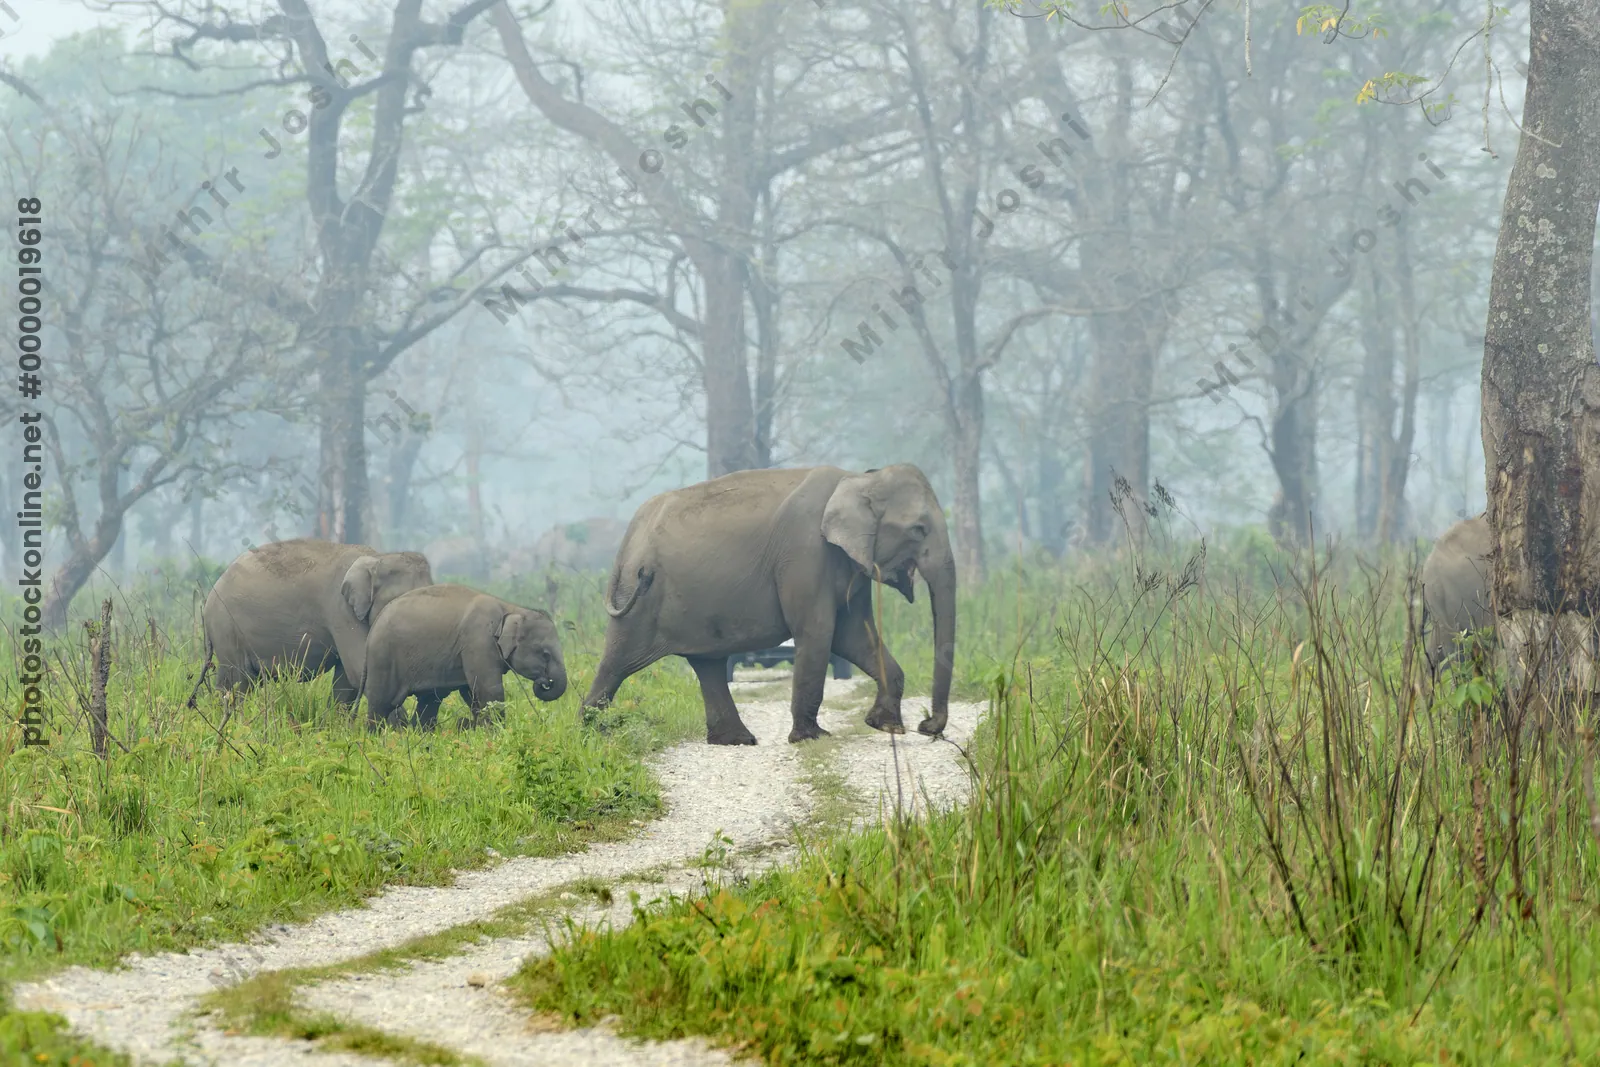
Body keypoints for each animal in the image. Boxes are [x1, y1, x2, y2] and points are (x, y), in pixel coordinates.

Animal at [195, 539, 434, 706]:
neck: (377, 557)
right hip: (226, 629)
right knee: (236, 681)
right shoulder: (341, 610)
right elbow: (359, 670)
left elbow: (347, 680)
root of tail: (207, 604)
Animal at [360, 584, 568, 730]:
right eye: (546, 654)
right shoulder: (479, 641)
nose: (543, 682)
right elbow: (490, 691)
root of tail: (371, 631)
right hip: (383, 659)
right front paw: (498, 733)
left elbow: (472, 692)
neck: (511, 608)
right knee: (381, 704)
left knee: (429, 701)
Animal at [583, 464, 956, 745]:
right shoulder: (805, 554)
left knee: (708, 665)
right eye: (919, 529)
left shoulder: (850, 564)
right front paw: (812, 737)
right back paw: (592, 733)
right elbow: (819, 632)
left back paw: (737, 741)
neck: (858, 477)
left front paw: (886, 726)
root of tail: (627, 540)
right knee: (617, 662)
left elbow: (854, 635)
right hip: (638, 599)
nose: (927, 728)